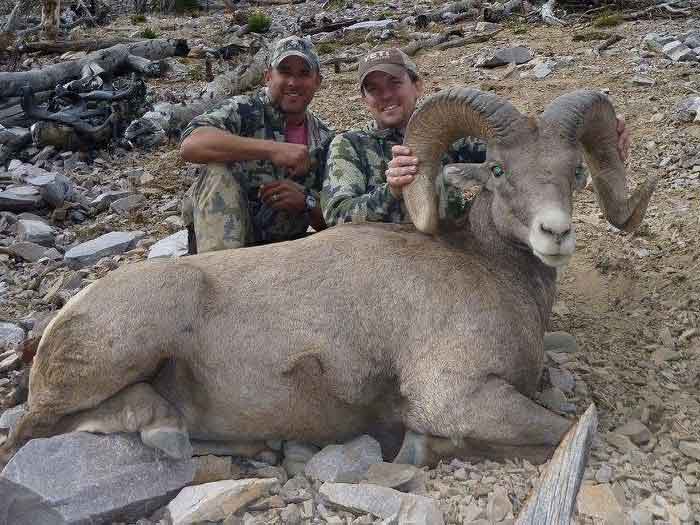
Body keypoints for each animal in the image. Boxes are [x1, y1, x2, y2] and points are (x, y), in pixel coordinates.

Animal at [0, 88, 657, 474]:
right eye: (497, 170)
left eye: (574, 172)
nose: (556, 233)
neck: (488, 272)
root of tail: (62, 322)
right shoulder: (458, 397)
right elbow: (566, 430)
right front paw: (416, 447)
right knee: (36, 429)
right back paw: (165, 430)